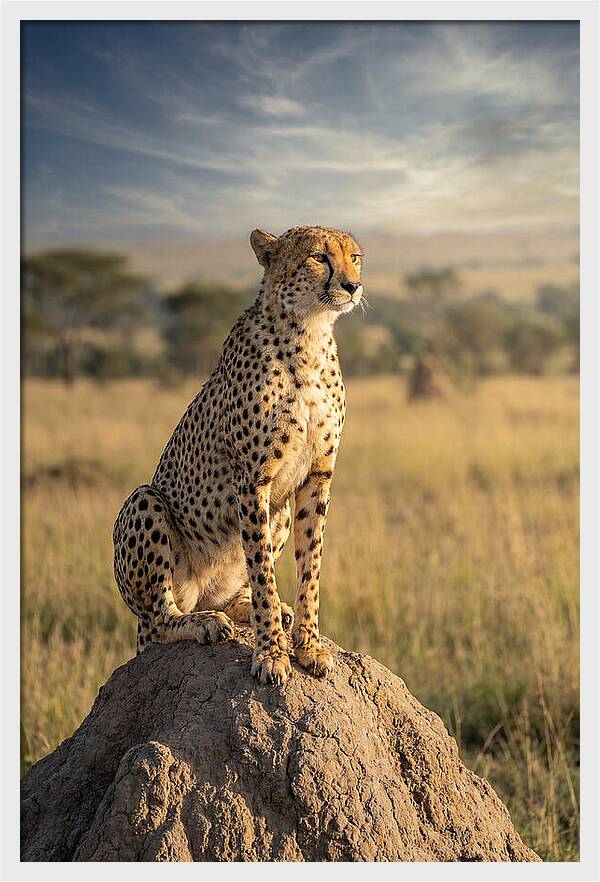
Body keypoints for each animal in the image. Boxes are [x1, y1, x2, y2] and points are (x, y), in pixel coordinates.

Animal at [112, 225, 363, 686]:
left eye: (354, 257)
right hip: (144, 503)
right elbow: (263, 569)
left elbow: (310, 567)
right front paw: (271, 654)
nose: (353, 286)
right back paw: (204, 623)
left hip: (279, 512)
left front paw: (308, 645)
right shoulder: (252, 480)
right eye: (319, 257)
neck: (309, 333)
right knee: (160, 619)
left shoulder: (317, 476)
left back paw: (254, 610)